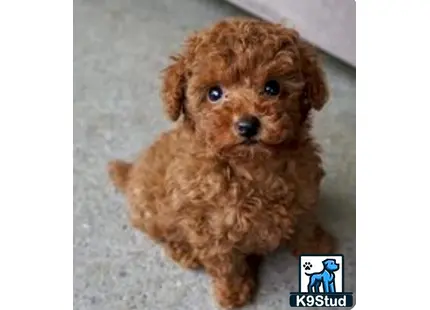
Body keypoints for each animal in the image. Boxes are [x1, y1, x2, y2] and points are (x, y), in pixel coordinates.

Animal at [107, 18, 336, 308]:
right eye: (214, 93)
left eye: (272, 87)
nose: (247, 125)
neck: (253, 167)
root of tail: (131, 172)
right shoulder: (212, 229)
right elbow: (227, 266)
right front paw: (233, 293)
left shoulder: (304, 192)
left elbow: (305, 224)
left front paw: (317, 248)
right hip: (152, 214)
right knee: (163, 235)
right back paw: (185, 252)